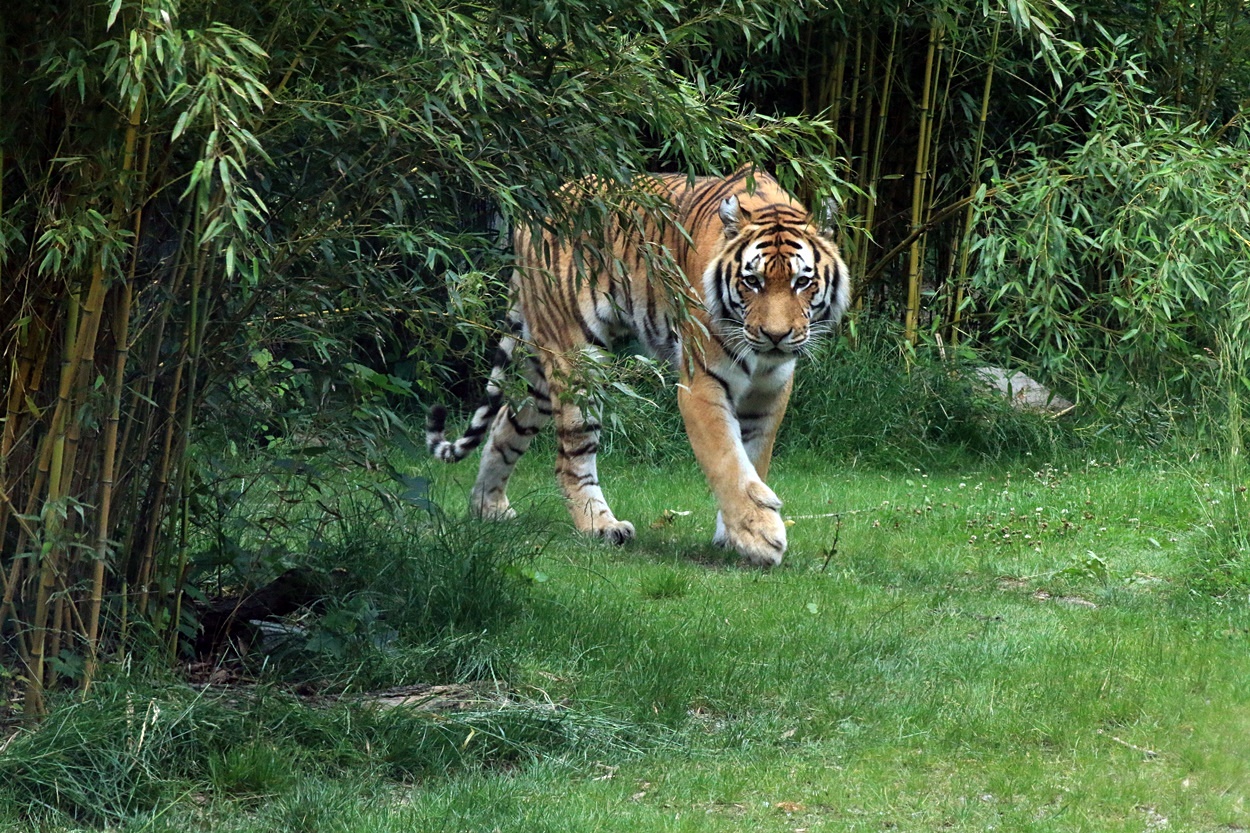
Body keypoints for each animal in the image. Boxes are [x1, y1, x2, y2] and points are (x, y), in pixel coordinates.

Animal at [427, 170, 850, 565]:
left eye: (802, 282)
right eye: (753, 281)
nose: (776, 336)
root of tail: (535, 211)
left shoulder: (770, 390)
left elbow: (753, 461)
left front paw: (735, 535)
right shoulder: (702, 385)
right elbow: (728, 462)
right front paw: (760, 536)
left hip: (541, 369)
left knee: (505, 425)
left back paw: (489, 508)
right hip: (578, 359)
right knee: (569, 457)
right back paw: (600, 526)